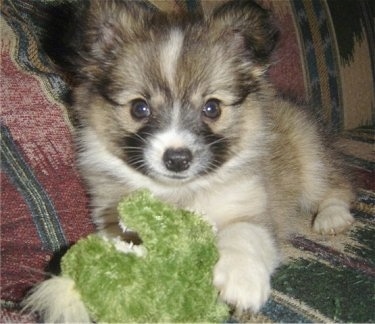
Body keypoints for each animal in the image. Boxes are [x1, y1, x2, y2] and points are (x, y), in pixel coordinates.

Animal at [66, 0, 356, 314]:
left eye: (212, 108)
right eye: (139, 108)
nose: (177, 159)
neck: (181, 192)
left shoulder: (251, 208)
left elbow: (243, 234)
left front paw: (242, 281)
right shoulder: (113, 219)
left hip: (310, 157)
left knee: (338, 186)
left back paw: (331, 217)